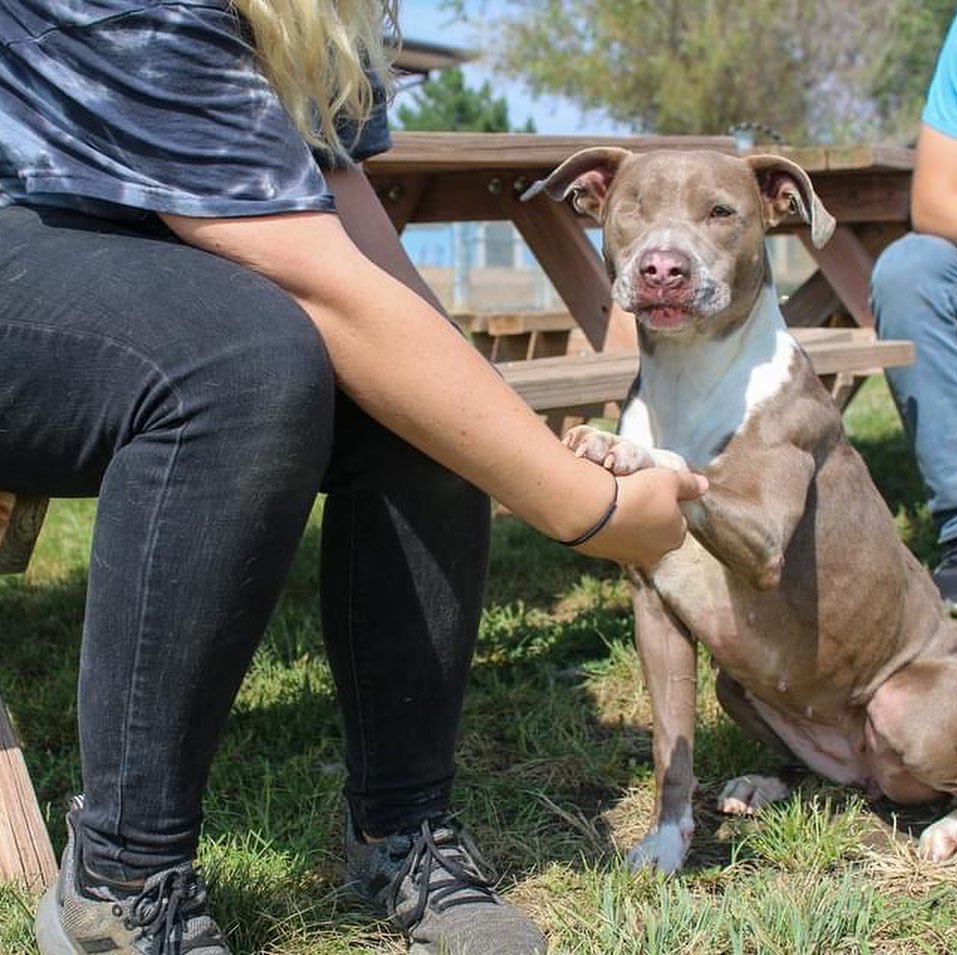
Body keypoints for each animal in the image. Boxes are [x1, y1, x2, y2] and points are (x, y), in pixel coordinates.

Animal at [524, 148, 956, 872]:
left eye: (722, 212)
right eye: (632, 207)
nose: (663, 267)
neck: (690, 374)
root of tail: (869, 772)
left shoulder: (765, 538)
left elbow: (687, 468)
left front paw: (620, 448)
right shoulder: (655, 613)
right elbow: (671, 747)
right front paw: (665, 846)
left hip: (903, 703)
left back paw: (944, 829)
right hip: (737, 685)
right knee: (816, 769)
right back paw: (764, 784)